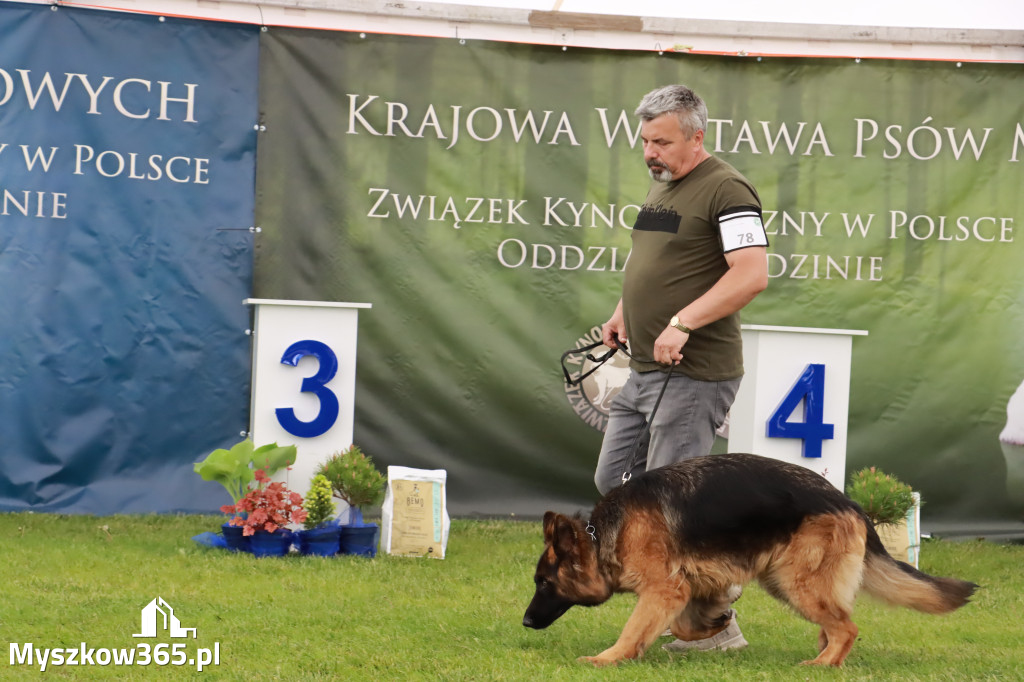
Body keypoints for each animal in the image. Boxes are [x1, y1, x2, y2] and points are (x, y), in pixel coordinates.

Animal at [524, 450, 978, 663]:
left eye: (544, 583)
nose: (525, 622)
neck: (606, 535)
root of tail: (848, 501)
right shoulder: (692, 584)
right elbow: (686, 623)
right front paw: (715, 626)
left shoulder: (664, 589)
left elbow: (633, 630)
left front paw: (607, 659)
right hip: (782, 579)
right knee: (837, 622)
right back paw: (824, 654)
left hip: (795, 582)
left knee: (847, 627)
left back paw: (822, 666)